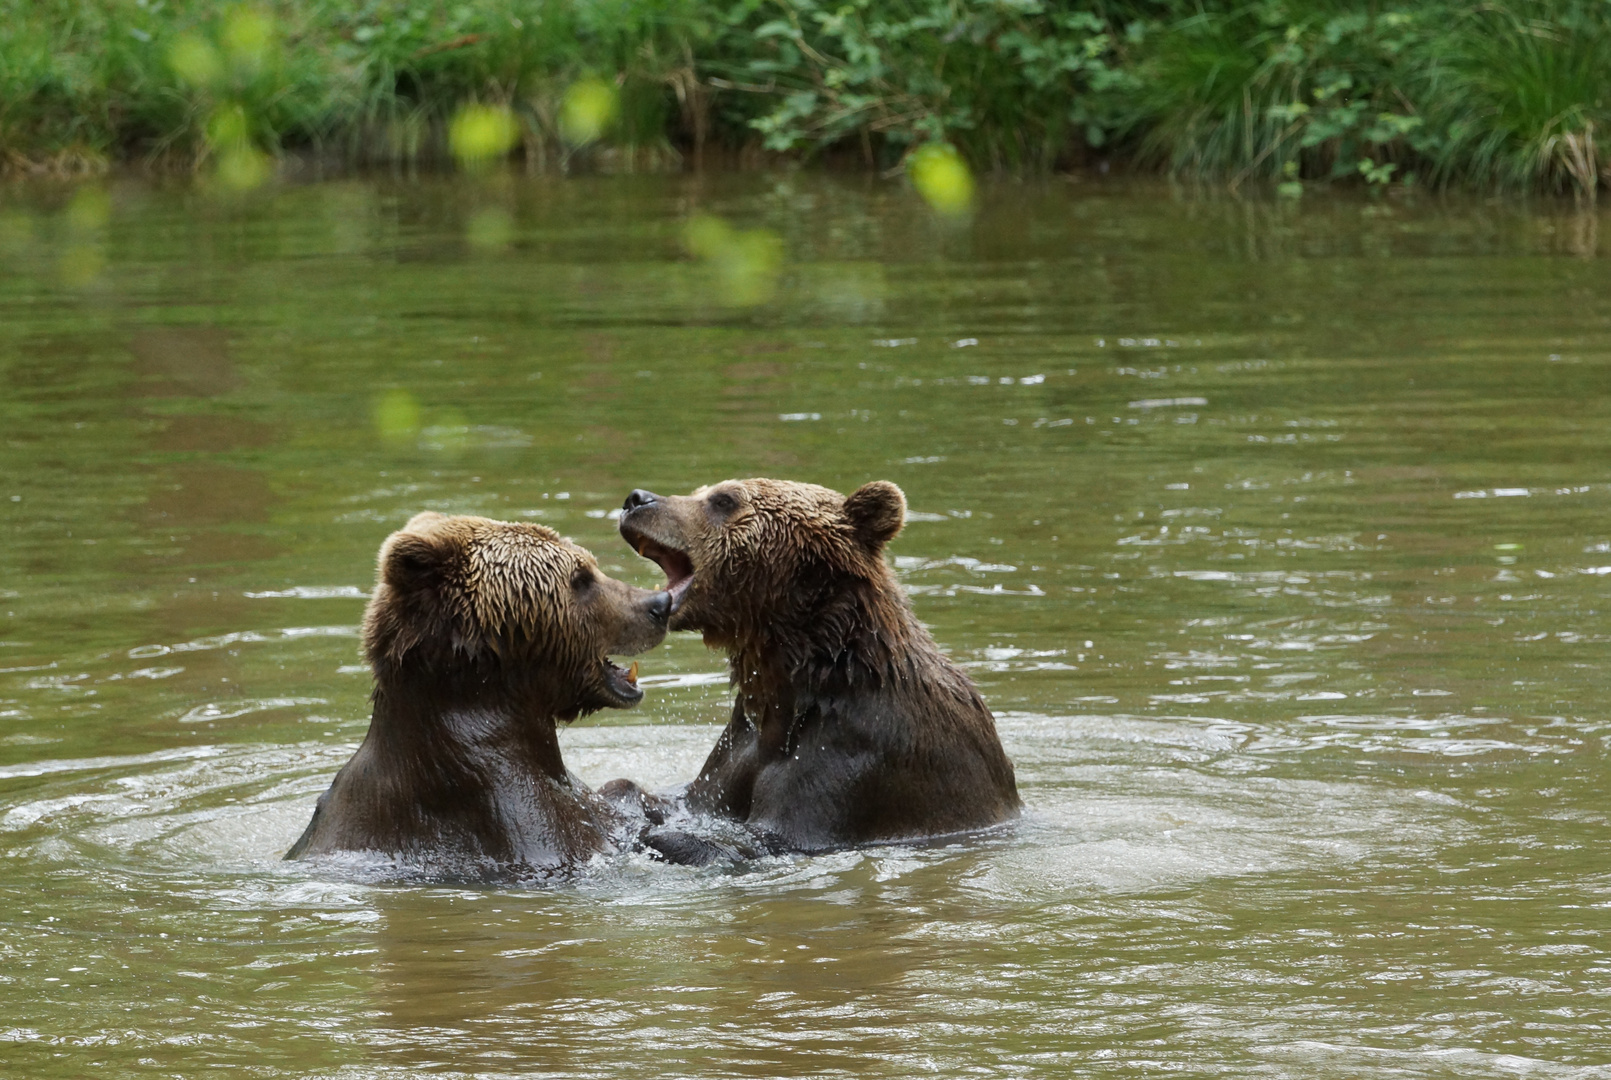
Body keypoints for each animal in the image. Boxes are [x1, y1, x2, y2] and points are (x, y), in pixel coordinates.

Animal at [605, 477, 1018, 864]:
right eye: (700, 491)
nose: (636, 499)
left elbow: (776, 838)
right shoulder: (739, 747)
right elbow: (688, 799)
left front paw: (654, 834)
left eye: (724, 499)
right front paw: (621, 795)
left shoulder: (861, 753)